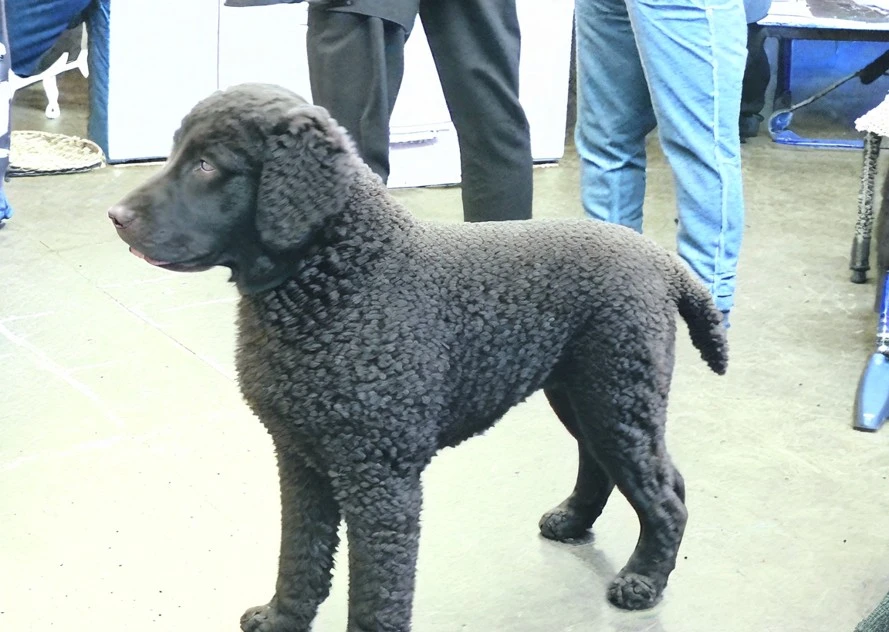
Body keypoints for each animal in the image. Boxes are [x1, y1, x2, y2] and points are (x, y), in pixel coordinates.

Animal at [107, 85, 724, 632]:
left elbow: (377, 593)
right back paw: (573, 521)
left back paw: (643, 581)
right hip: (584, 393)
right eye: (177, 153)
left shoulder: (381, 482)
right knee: (620, 468)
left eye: (207, 165)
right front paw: (280, 618)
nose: (116, 216)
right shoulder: (299, 458)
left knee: (665, 495)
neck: (337, 278)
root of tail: (660, 259)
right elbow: (300, 557)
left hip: (616, 395)